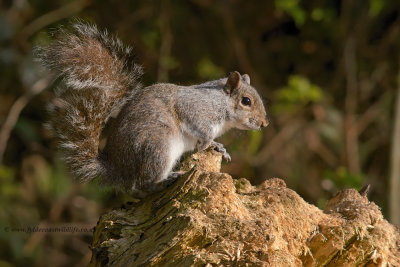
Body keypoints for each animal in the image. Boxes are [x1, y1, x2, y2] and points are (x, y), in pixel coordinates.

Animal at [37, 22, 268, 197]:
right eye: (246, 101)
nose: (264, 123)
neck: (220, 102)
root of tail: (117, 167)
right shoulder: (195, 109)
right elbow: (198, 128)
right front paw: (209, 143)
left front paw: (220, 148)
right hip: (157, 147)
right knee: (143, 184)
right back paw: (165, 180)